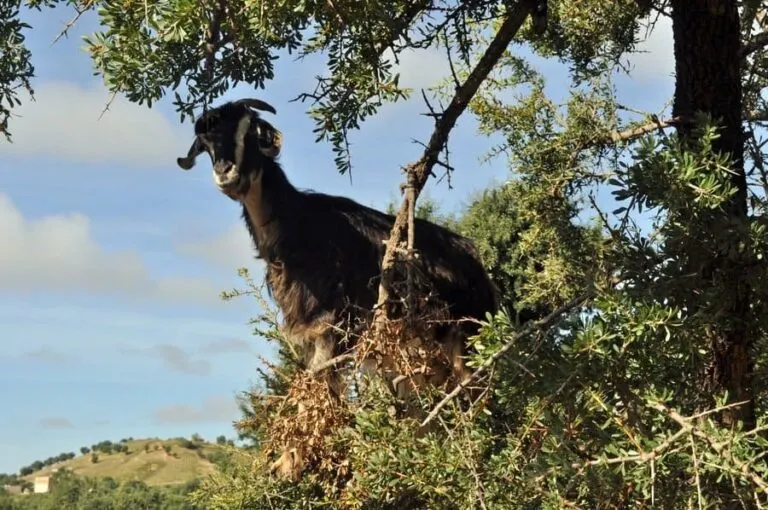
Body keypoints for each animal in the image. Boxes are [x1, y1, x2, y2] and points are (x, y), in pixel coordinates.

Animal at [176, 98, 500, 475]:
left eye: (250, 131)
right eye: (206, 142)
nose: (227, 174)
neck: (297, 227)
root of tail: (477, 266)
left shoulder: (332, 324)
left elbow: (317, 386)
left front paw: (295, 461)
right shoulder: (307, 330)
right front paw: (292, 460)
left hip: (465, 340)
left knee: (476, 395)